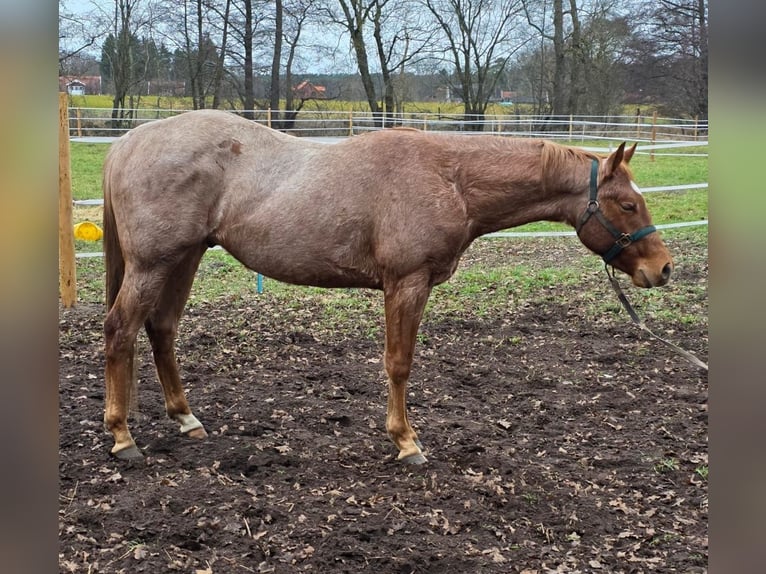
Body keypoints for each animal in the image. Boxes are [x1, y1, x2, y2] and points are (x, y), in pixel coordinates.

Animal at [102, 109, 673, 464]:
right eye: (628, 204)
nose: (663, 268)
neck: (451, 178)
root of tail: (131, 140)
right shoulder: (407, 283)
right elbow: (399, 363)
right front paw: (406, 441)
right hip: (153, 263)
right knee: (120, 332)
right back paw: (123, 436)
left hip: (184, 258)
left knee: (161, 329)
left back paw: (186, 419)